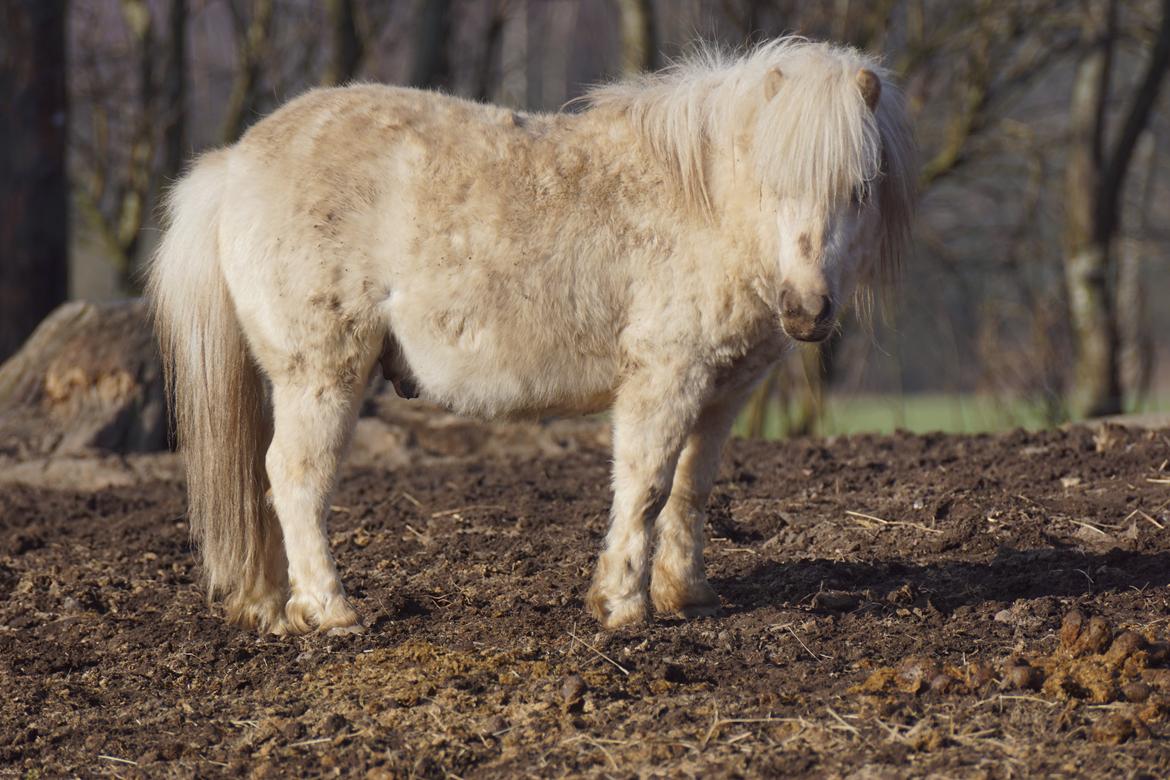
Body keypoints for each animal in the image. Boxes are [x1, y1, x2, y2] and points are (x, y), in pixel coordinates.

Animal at [148, 38, 912, 636]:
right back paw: (331, 610)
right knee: (296, 478)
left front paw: (686, 595)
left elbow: (691, 490)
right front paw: (622, 604)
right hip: (320, 375)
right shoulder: (664, 380)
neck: (704, 206)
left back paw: (276, 607)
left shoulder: (722, 394)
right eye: (774, 184)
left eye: (860, 188)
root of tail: (234, 161)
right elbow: (645, 484)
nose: (806, 310)